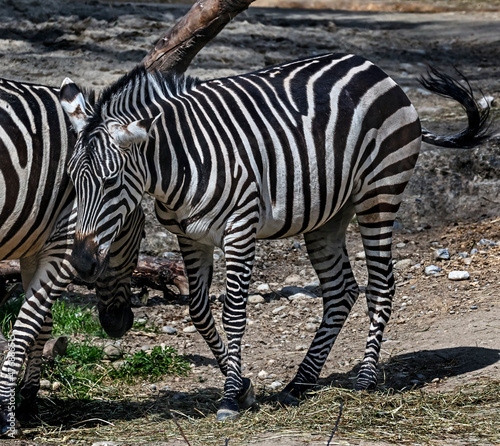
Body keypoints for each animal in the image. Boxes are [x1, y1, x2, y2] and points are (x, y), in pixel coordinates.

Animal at [0, 78, 145, 438]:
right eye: (141, 238)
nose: (121, 324)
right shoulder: (65, 244)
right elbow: (28, 325)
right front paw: (8, 413)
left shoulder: (36, 248)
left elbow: (43, 324)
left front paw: (28, 399)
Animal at [58, 54, 488, 420]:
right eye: (71, 182)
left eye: (111, 182)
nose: (82, 264)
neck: (176, 161)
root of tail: (375, 69)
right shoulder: (190, 237)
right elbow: (198, 312)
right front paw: (244, 386)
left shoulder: (240, 227)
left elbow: (234, 312)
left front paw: (230, 397)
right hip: (327, 215)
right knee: (341, 291)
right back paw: (300, 383)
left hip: (379, 193)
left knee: (381, 285)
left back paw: (365, 379)